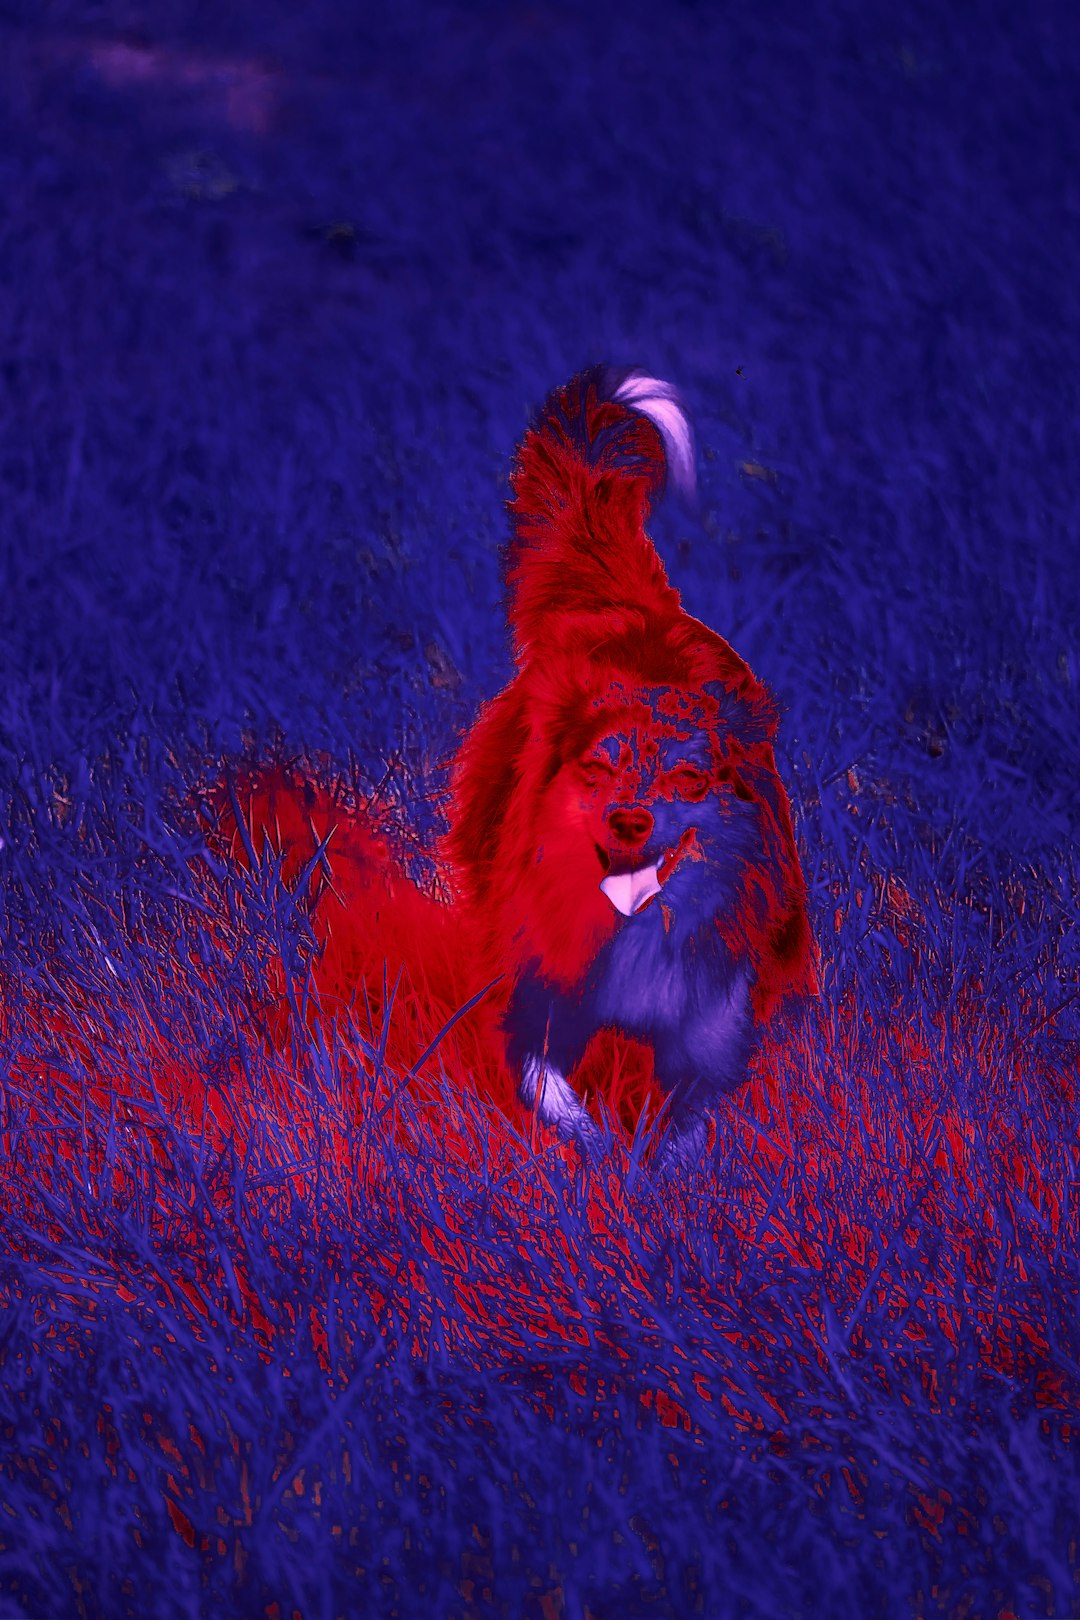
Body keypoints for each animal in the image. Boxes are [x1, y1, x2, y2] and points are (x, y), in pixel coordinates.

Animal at [443, 369, 816, 1166]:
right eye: (597, 767)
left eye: (689, 779)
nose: (631, 819)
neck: (637, 928)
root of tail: (632, 598)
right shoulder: (539, 986)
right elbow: (548, 1087)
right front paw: (595, 1153)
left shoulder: (711, 1015)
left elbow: (686, 1113)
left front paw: (659, 1168)